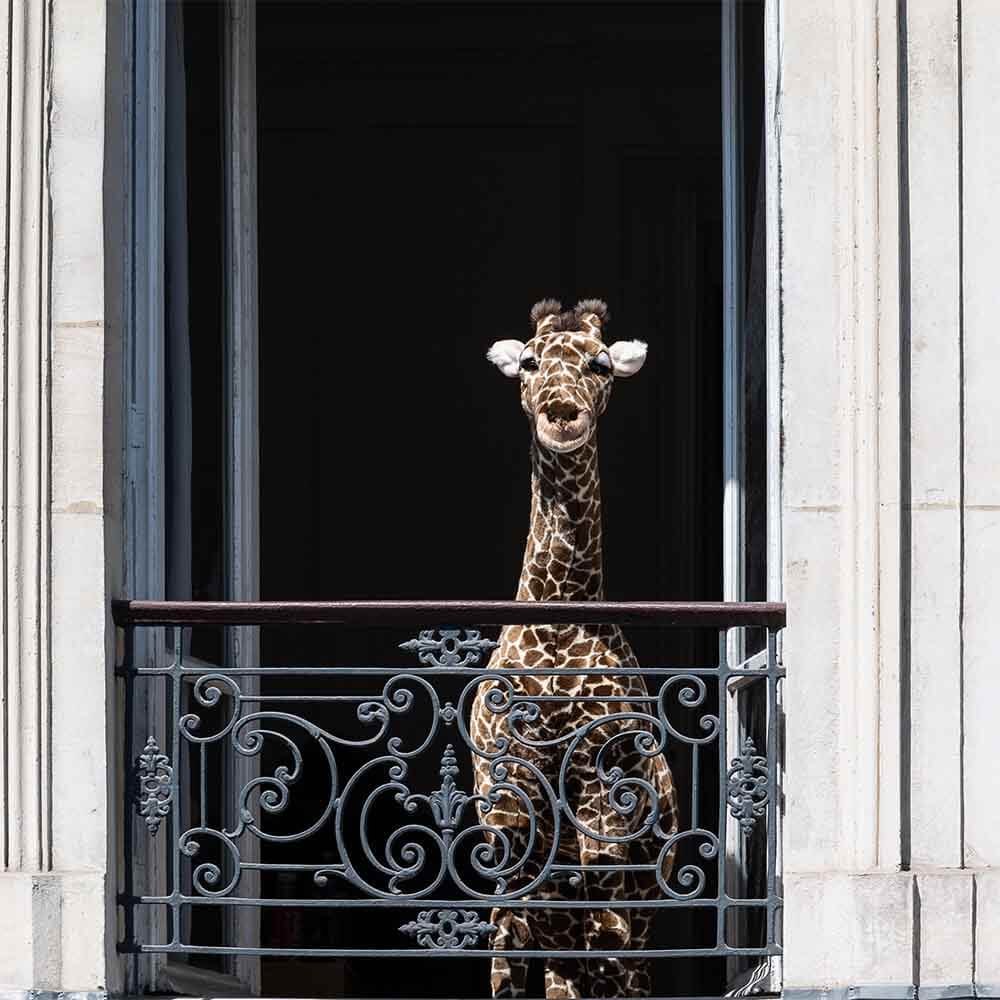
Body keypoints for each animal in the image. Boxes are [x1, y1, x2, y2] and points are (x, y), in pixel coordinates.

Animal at [469, 299, 679, 999]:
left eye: (601, 364)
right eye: (531, 362)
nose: (563, 414)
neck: (559, 620)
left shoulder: (600, 795)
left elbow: (607, 946)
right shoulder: (505, 802)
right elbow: (504, 963)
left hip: (643, 892)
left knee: (619, 961)